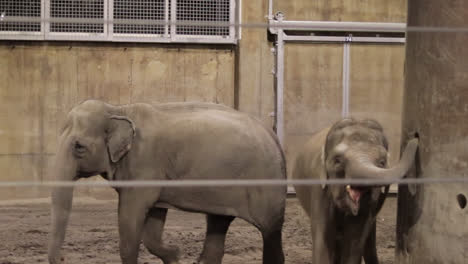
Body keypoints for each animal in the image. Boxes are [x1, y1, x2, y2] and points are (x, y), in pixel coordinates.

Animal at [49, 99, 288, 264]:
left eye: (79, 147)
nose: (63, 258)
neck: (118, 109)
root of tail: (274, 136)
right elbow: (152, 226)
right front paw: (175, 256)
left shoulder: (144, 165)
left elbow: (130, 218)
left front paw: (174, 255)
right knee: (218, 224)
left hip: (266, 186)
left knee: (270, 233)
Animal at [290, 118, 418, 264]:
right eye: (337, 161)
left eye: (382, 162)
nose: (415, 138)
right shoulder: (319, 188)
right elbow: (323, 235)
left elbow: (355, 238)